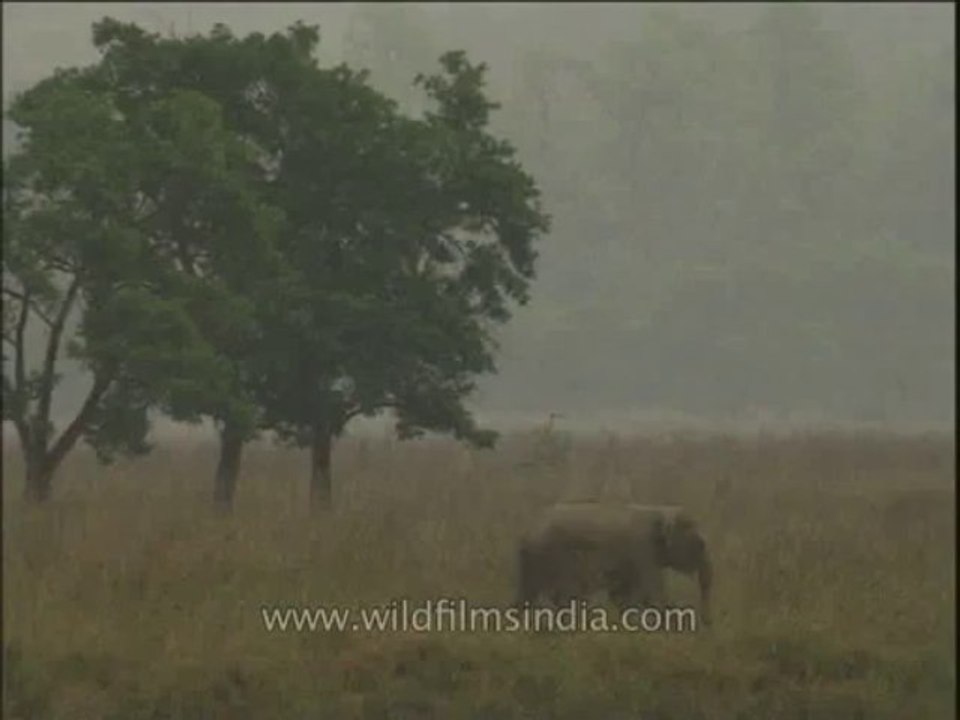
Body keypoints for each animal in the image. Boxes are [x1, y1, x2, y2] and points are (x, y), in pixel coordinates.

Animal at [516, 502, 712, 625]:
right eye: (700, 545)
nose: (705, 623)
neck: (660, 509)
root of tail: (526, 533)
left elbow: (622, 595)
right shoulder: (642, 550)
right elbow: (650, 593)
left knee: (528, 595)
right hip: (558, 556)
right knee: (567, 596)